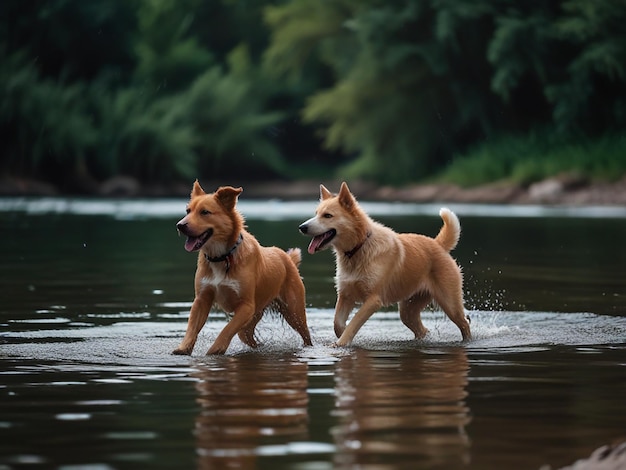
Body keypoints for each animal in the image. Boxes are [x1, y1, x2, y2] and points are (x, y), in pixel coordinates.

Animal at [173, 182, 312, 354]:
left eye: (205, 212)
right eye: (188, 211)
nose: (180, 225)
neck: (222, 256)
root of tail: (287, 258)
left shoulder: (246, 306)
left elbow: (227, 329)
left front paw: (215, 349)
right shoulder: (201, 299)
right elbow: (192, 326)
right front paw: (183, 347)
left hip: (294, 311)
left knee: (305, 334)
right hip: (254, 317)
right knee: (247, 336)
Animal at [298, 182, 468, 346]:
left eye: (327, 215)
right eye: (316, 214)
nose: (302, 227)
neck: (359, 247)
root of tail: (438, 244)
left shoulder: (373, 300)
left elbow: (354, 322)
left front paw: (341, 343)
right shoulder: (346, 294)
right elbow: (337, 323)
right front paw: (342, 336)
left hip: (450, 305)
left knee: (465, 324)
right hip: (408, 310)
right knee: (423, 330)